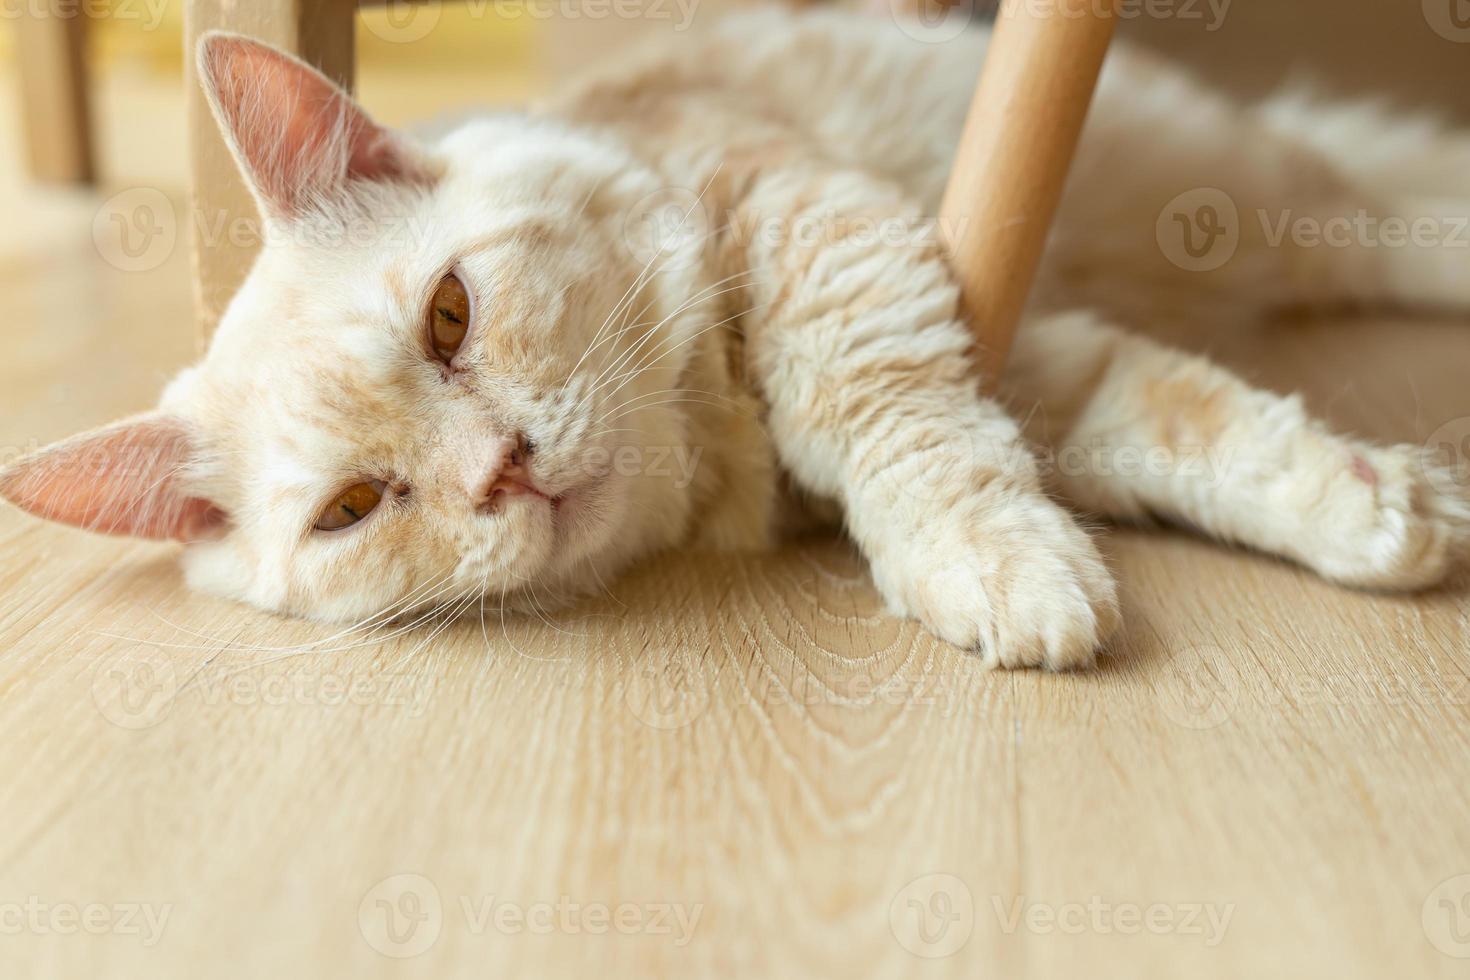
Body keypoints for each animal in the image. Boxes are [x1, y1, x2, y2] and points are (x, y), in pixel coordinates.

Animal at [2, 5, 1470, 667]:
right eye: (355, 508)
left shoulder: (811, 226)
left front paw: (986, 566)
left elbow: (885, 417)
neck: (711, 447)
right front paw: (1370, 507)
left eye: (449, 316)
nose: (502, 472)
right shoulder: (1039, 363)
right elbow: (1193, 428)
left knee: (1373, 195)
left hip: (1237, 181)